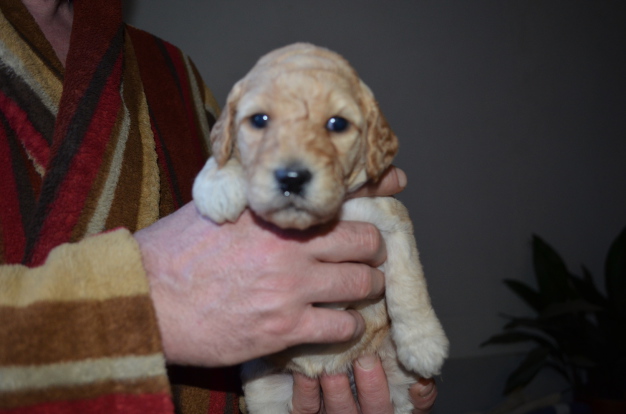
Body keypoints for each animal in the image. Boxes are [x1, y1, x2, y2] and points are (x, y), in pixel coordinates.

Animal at [193, 43, 448, 413]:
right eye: (259, 120)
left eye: (337, 124)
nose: (292, 178)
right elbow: (227, 152)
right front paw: (217, 182)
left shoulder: (391, 220)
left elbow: (408, 285)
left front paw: (424, 344)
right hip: (264, 387)